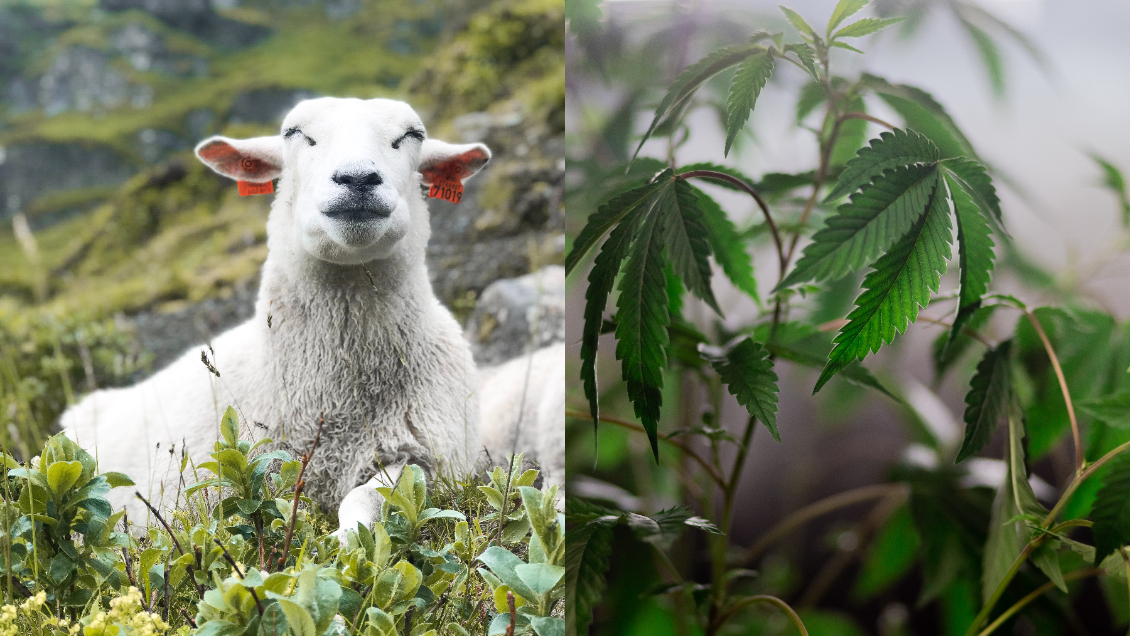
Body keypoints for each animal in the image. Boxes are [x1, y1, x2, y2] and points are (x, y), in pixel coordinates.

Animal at [60, 97, 491, 537]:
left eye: (411, 135)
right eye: (295, 133)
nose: (357, 179)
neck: (337, 400)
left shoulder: (428, 457)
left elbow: (368, 498)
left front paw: (343, 536)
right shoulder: (228, 477)